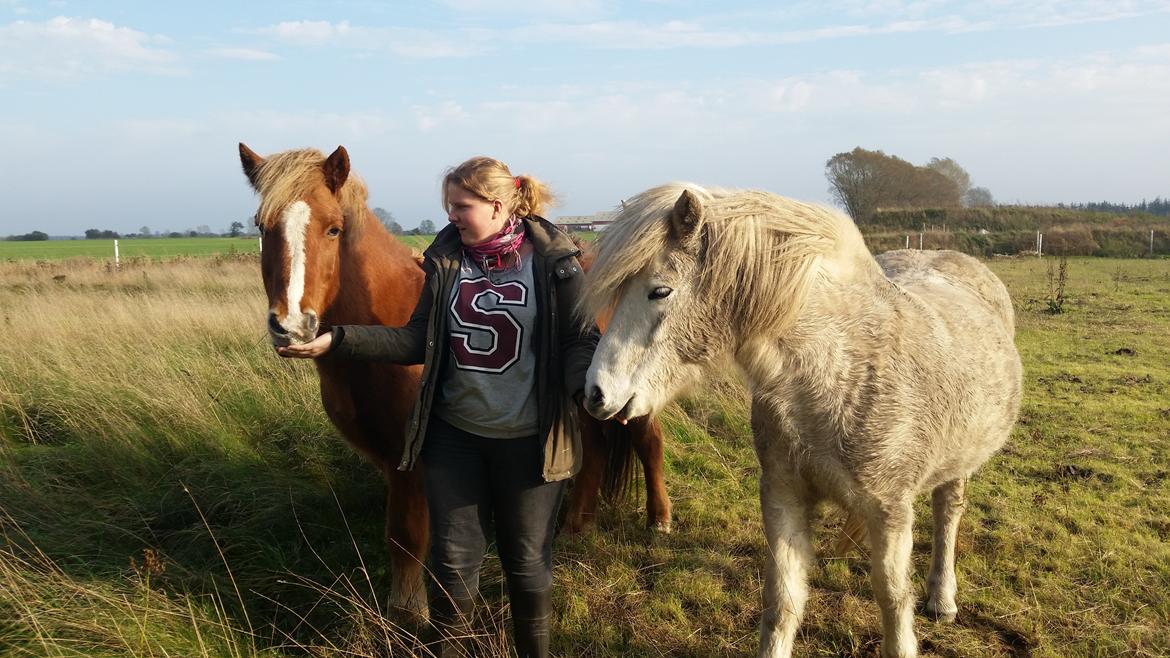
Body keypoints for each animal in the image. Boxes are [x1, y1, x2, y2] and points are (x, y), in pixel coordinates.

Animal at [238, 142, 673, 608]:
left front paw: (410, 613)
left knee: (648, 441)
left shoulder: (409, 461)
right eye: (262, 227)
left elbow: (407, 536)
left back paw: (658, 521)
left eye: (334, 229)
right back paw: (576, 528)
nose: (291, 325)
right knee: (593, 450)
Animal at [580, 182, 1020, 655]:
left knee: (947, 515)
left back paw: (942, 598)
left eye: (660, 291)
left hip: (959, 465)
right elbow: (783, 603)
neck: (836, 369)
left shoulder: (890, 511)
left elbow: (892, 599)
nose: (596, 393)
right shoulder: (782, 498)